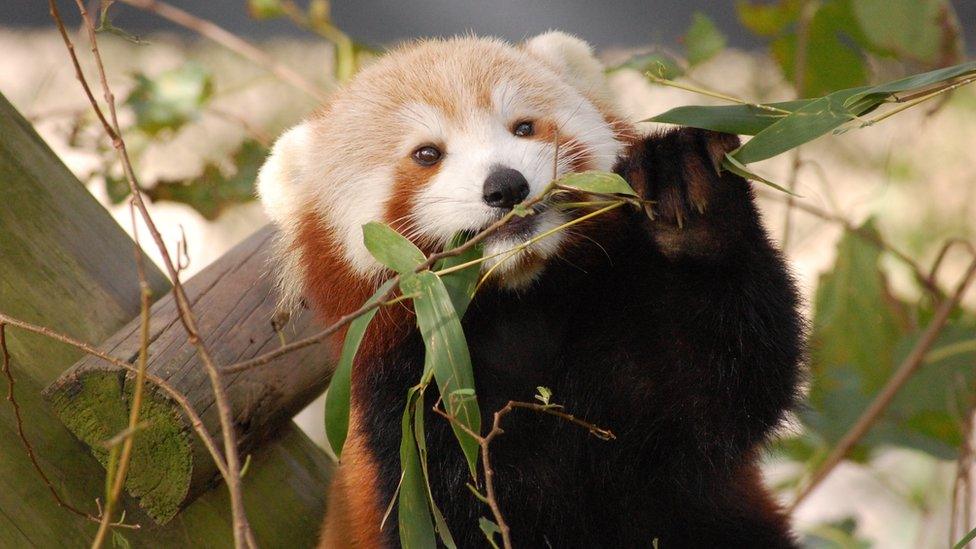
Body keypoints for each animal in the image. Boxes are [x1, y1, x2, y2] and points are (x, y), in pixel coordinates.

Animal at [260, 31, 800, 548]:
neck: (516, 308)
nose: (506, 186)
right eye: (427, 154)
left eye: (523, 127)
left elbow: (726, 382)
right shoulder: (411, 429)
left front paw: (684, 188)